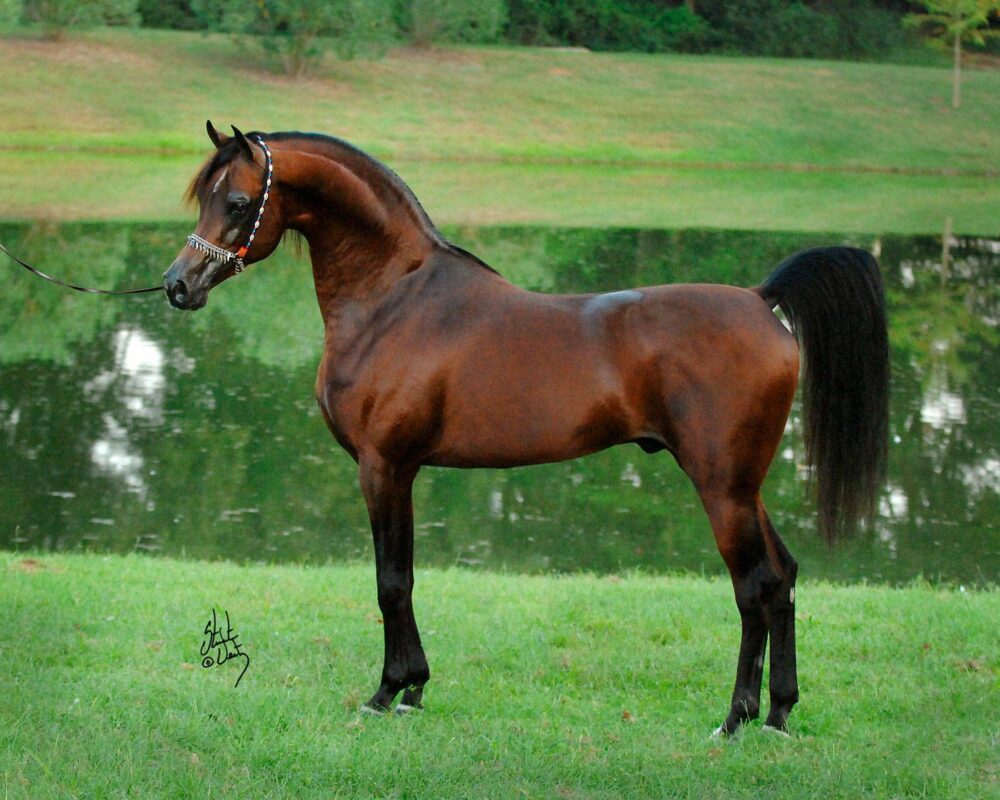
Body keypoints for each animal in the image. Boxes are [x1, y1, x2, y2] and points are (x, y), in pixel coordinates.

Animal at [165, 122, 889, 735]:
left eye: (237, 202)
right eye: (204, 199)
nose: (177, 286)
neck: (395, 299)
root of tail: (761, 301)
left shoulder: (385, 466)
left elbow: (391, 581)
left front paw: (388, 692)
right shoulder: (402, 470)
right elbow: (405, 577)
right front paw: (415, 690)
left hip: (722, 488)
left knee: (755, 587)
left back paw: (735, 719)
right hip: (745, 485)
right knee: (784, 577)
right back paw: (779, 713)